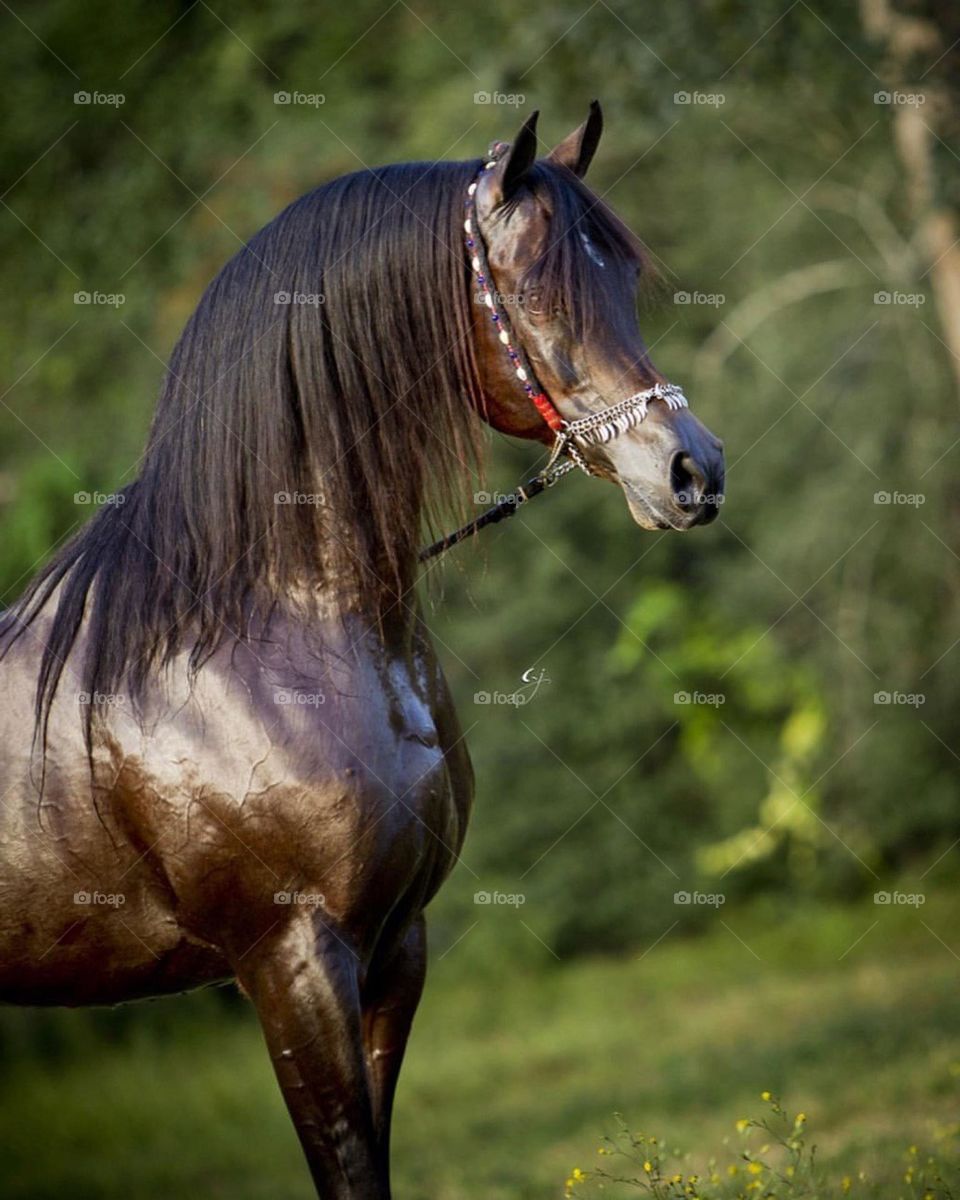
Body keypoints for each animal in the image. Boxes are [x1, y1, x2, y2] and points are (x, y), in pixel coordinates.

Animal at [0, 103, 724, 1198]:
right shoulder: (292, 961)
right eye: (537, 291)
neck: (267, 634)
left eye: (626, 285)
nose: (695, 470)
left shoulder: (396, 947)